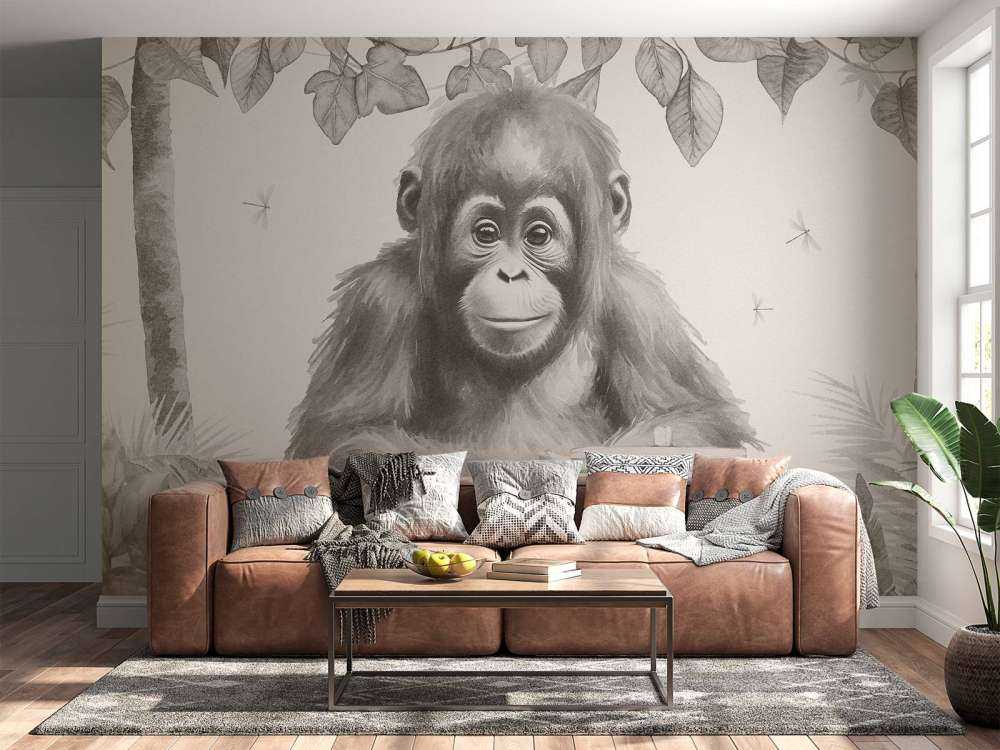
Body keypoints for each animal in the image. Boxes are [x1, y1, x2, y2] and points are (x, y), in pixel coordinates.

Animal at [287, 82, 758, 462]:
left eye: (538, 235)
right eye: (486, 233)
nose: (511, 275)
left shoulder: (641, 305)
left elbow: (694, 418)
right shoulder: (378, 303)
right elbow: (347, 432)